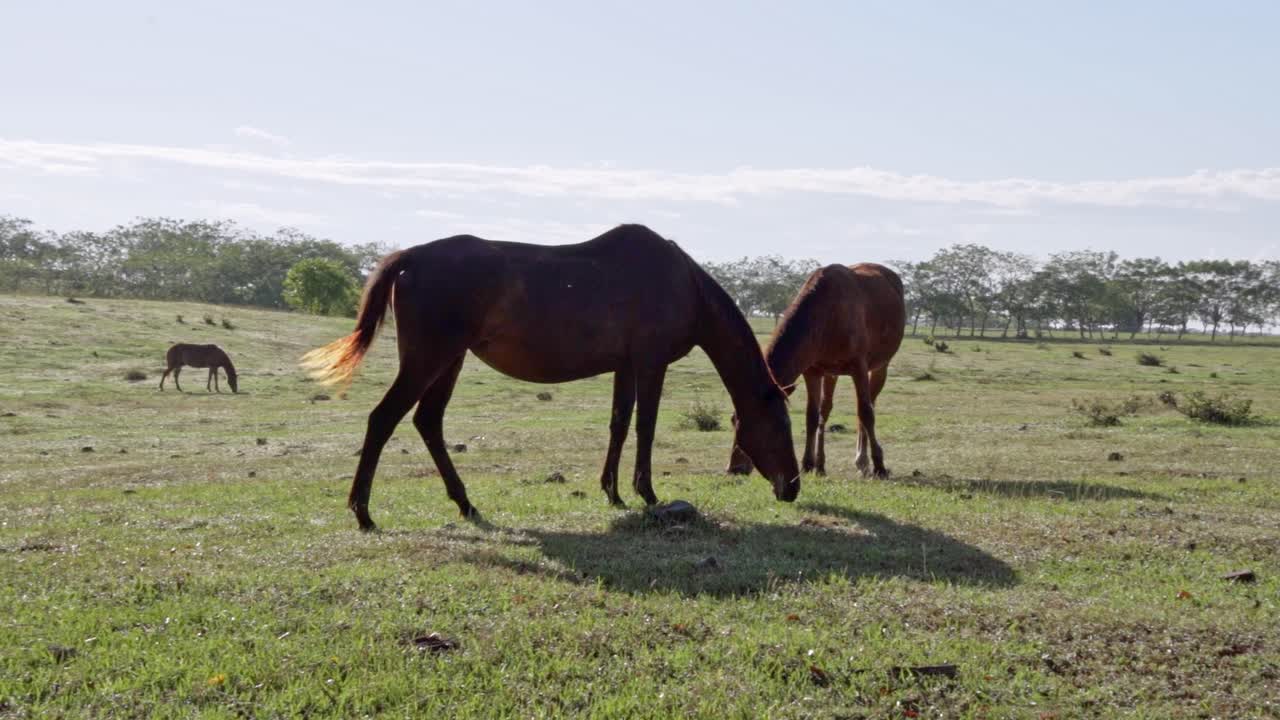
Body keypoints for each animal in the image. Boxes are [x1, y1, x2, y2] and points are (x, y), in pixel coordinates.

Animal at [303, 224, 800, 531]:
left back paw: (465, 503)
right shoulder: (651, 363)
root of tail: (410, 257)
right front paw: (646, 492)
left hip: (449, 360)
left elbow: (619, 425)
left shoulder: (626, 367)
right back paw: (363, 513)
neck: (685, 285)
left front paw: (612, 492)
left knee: (428, 422)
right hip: (429, 358)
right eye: (780, 425)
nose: (793, 486)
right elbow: (645, 427)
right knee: (383, 419)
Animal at [727, 263, 904, 478]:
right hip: (831, 373)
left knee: (868, 405)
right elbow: (812, 415)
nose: (735, 468)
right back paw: (822, 464)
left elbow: (866, 413)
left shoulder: (859, 367)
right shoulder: (813, 371)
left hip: (880, 365)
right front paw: (807, 464)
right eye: (733, 420)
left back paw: (862, 460)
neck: (826, 314)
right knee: (826, 410)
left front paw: (879, 466)